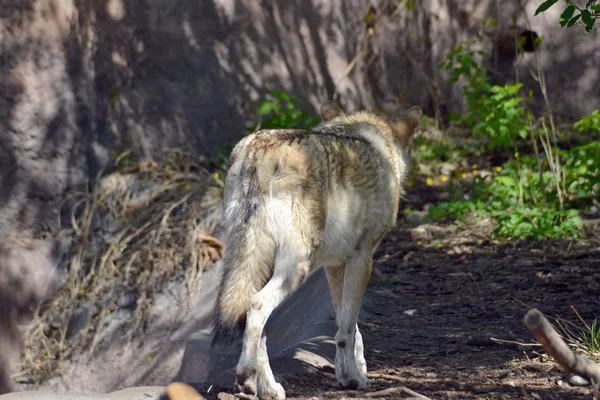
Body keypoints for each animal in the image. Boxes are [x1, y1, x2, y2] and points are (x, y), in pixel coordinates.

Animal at [211, 101, 422, 398]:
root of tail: (261, 149)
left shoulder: (335, 264)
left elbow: (348, 324)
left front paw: (350, 372)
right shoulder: (362, 258)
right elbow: (347, 329)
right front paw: (353, 378)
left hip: (257, 265)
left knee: (256, 321)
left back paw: (269, 389)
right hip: (296, 268)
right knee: (257, 306)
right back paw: (246, 380)